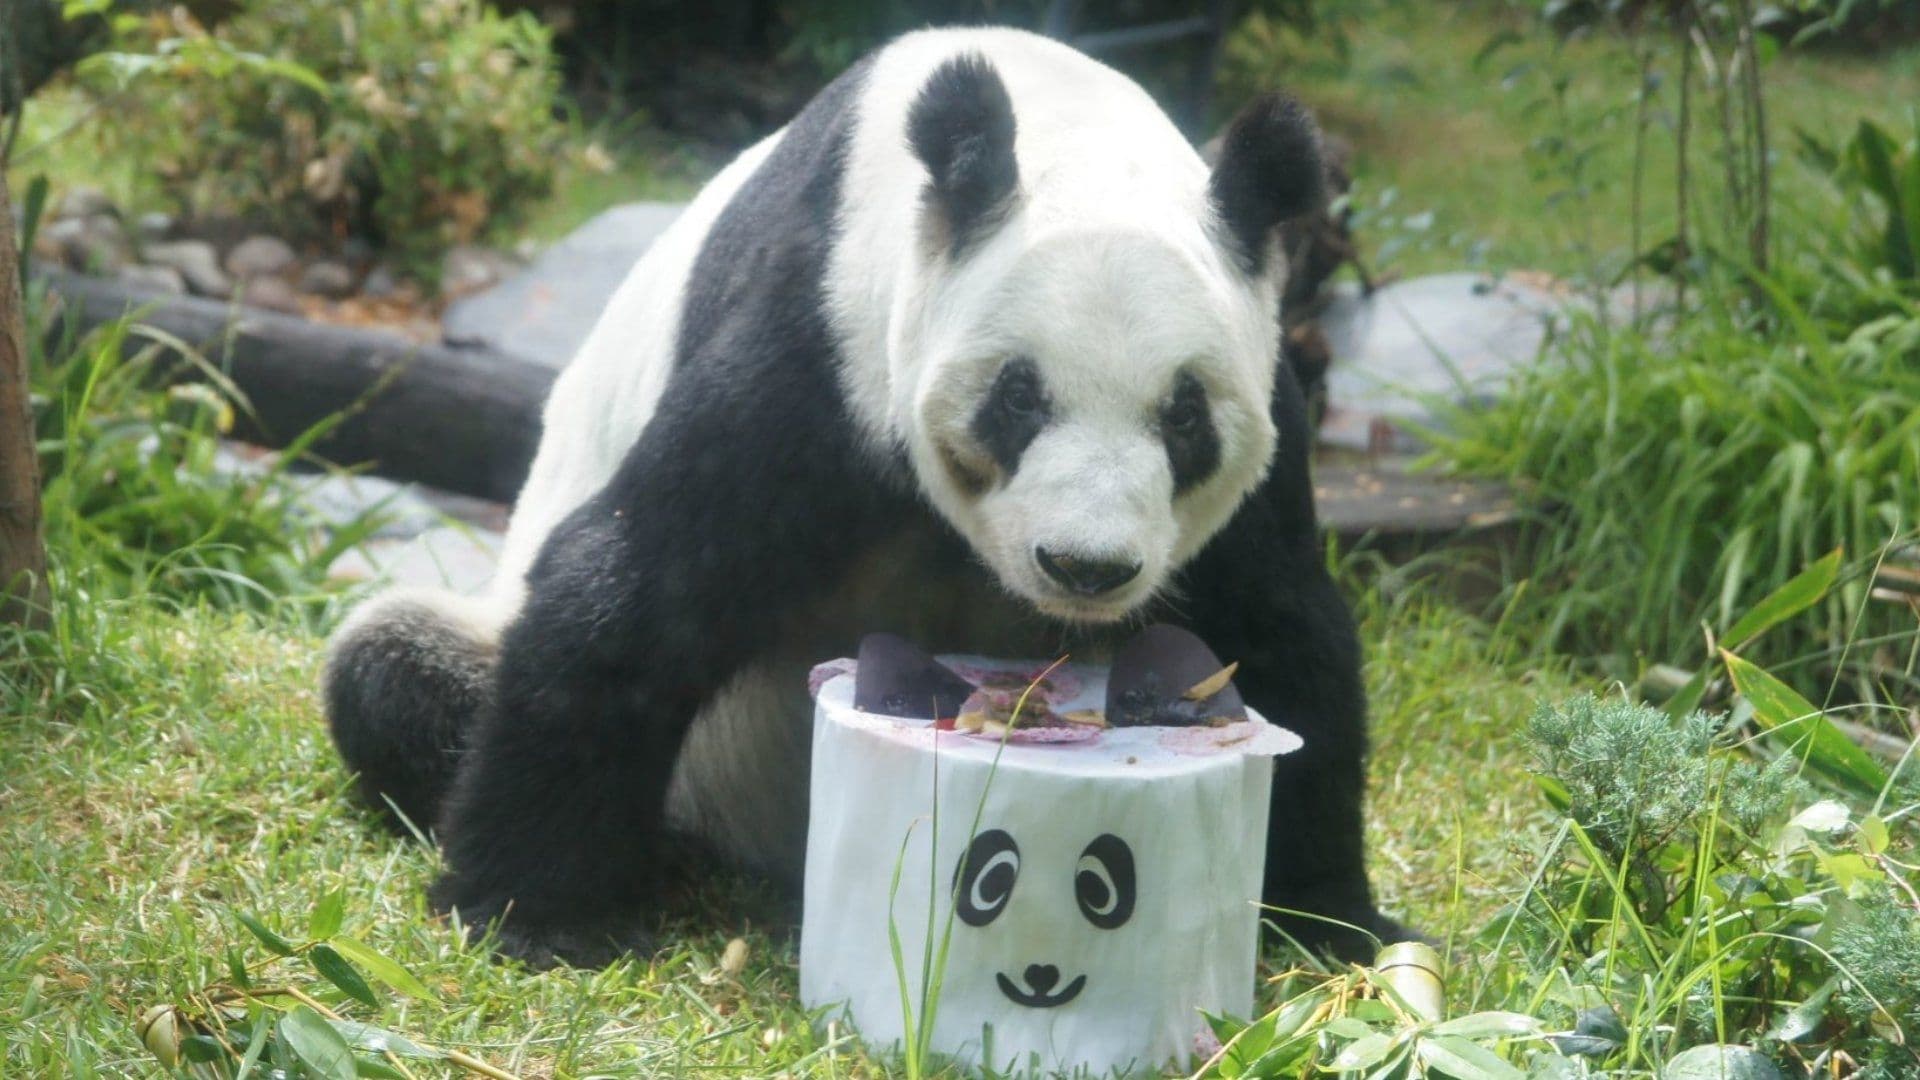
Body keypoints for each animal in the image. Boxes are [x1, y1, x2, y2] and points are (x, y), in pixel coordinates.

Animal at [325, 26, 1409, 968]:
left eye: (1183, 415)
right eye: (1019, 396)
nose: (1085, 567)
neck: (1062, 125)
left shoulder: (1266, 404)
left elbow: (1281, 633)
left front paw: (1331, 926)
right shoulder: (828, 335)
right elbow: (639, 585)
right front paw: (537, 916)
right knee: (390, 672)